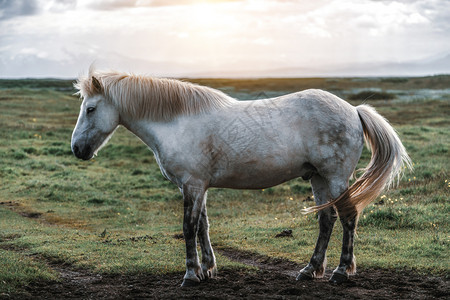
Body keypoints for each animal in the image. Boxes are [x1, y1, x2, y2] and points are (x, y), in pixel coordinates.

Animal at [71, 69, 412, 288]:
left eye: (91, 109)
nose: (77, 149)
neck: (177, 122)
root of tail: (353, 110)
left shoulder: (192, 185)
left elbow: (188, 227)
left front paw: (190, 275)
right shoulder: (197, 186)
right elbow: (203, 225)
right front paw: (208, 269)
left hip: (336, 177)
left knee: (348, 217)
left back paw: (341, 272)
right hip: (318, 178)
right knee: (326, 220)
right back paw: (309, 269)